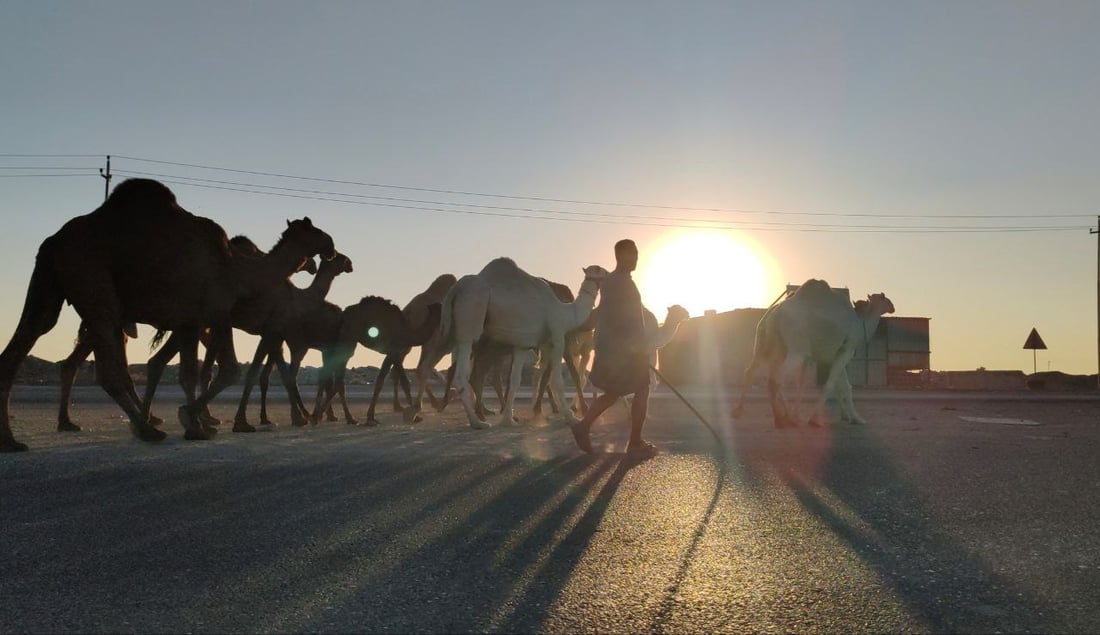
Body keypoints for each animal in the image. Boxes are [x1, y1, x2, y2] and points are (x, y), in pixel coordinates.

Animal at [0, 178, 334, 451]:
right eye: (314, 229)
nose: (330, 245)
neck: (238, 269)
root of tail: (53, 241)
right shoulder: (216, 311)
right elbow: (227, 370)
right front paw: (192, 420)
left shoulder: (190, 321)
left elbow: (189, 373)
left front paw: (196, 425)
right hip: (94, 285)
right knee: (108, 369)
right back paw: (146, 428)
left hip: (49, 286)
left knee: (23, 345)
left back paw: (13, 441)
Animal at [310, 294, 442, 422]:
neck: (408, 333)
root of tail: (342, 316)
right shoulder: (394, 350)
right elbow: (402, 381)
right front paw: (415, 415)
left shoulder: (392, 353)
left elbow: (384, 380)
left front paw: (371, 416)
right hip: (348, 340)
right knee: (334, 377)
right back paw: (332, 416)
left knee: (330, 375)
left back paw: (321, 415)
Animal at [409, 255, 611, 429]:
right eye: (601, 270)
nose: (611, 274)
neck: (566, 312)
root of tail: (454, 290)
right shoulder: (557, 337)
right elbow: (557, 380)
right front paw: (571, 417)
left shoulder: (523, 345)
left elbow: (515, 381)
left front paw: (508, 419)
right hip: (470, 319)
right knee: (461, 373)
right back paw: (476, 421)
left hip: (449, 331)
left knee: (435, 366)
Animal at [730, 280, 893, 427]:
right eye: (884, 298)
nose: (893, 307)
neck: (860, 323)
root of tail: (774, 313)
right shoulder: (846, 350)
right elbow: (831, 384)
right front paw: (814, 419)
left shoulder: (834, 354)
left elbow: (842, 386)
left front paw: (852, 417)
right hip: (796, 349)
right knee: (776, 378)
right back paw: (780, 419)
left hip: (768, 346)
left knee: (753, 371)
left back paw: (741, 411)